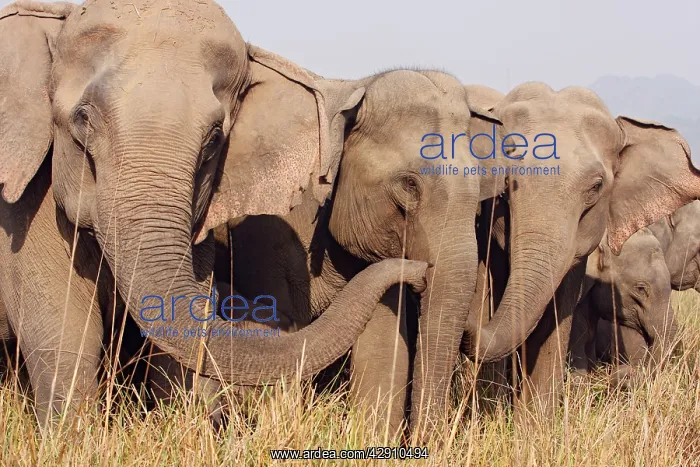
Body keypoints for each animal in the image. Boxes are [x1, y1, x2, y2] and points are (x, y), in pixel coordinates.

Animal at [459, 82, 700, 417]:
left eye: (596, 187)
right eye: (504, 181)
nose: (621, 376)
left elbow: (559, 309)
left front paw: (537, 422)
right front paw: (490, 414)